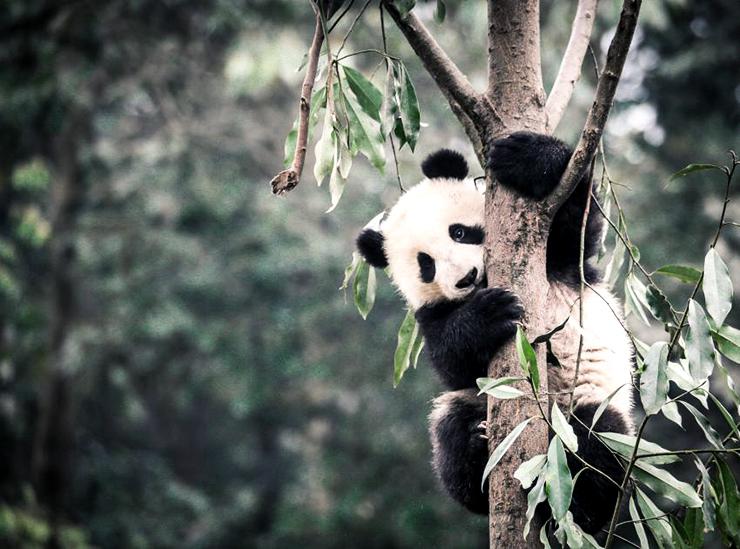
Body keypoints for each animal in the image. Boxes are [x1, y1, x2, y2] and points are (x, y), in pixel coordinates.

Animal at [356, 131, 632, 532]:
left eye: (459, 232)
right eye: (426, 265)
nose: (465, 278)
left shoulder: (559, 260)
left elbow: (578, 223)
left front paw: (527, 157)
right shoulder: (432, 314)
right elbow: (452, 362)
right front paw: (488, 314)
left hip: (588, 405)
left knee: (597, 444)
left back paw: (578, 506)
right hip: (470, 404)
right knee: (451, 438)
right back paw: (477, 449)